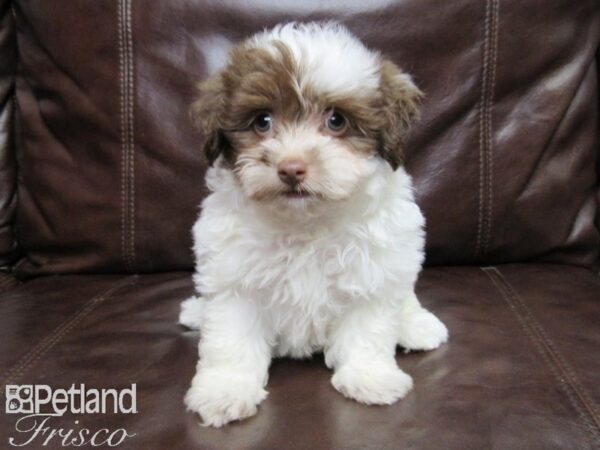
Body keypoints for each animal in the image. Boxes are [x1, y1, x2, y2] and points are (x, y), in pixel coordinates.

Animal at [180, 22, 448, 428]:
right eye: (262, 121)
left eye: (336, 120)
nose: (291, 168)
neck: (306, 222)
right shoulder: (234, 279)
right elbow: (231, 338)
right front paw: (226, 390)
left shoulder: (371, 270)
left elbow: (368, 328)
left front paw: (370, 377)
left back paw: (416, 325)